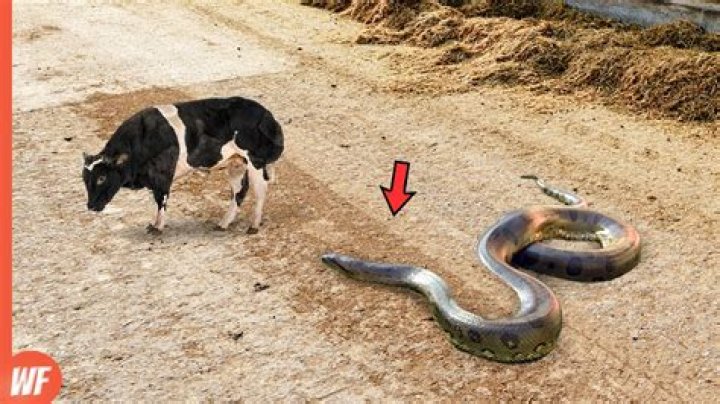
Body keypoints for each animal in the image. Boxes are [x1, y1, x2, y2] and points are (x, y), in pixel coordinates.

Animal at [82, 97, 284, 235]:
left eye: (102, 177)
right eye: (85, 180)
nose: (90, 206)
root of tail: (265, 114)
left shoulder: (162, 175)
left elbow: (161, 200)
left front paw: (158, 227)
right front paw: (154, 225)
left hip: (255, 162)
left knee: (260, 191)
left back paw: (253, 225)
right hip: (236, 163)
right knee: (239, 192)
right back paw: (223, 223)